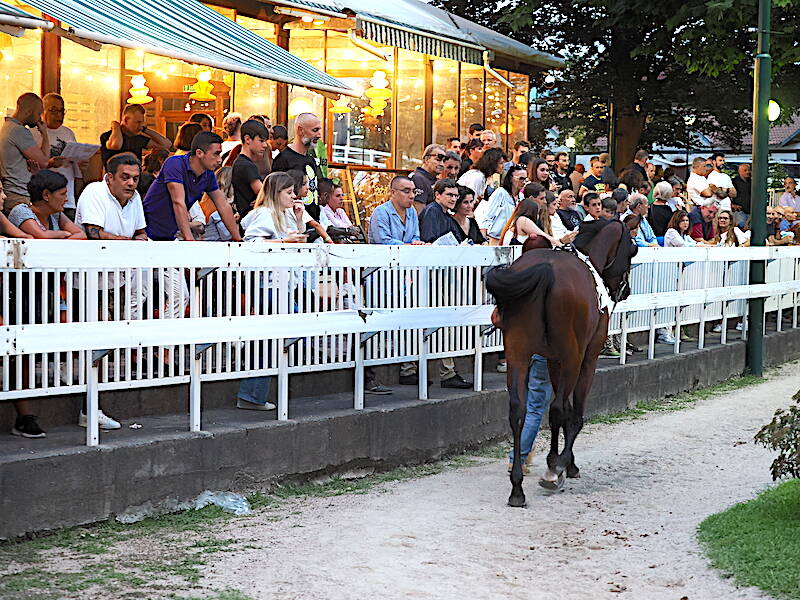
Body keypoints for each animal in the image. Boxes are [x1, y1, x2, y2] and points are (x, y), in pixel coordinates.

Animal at [485, 219, 638, 507]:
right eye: (633, 250)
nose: (626, 290)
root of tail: (547, 270)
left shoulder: (552, 360)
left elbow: (560, 412)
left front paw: (557, 460)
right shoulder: (585, 359)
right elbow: (573, 412)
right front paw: (564, 464)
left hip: (518, 353)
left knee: (518, 411)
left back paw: (517, 487)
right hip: (572, 357)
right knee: (557, 408)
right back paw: (552, 474)